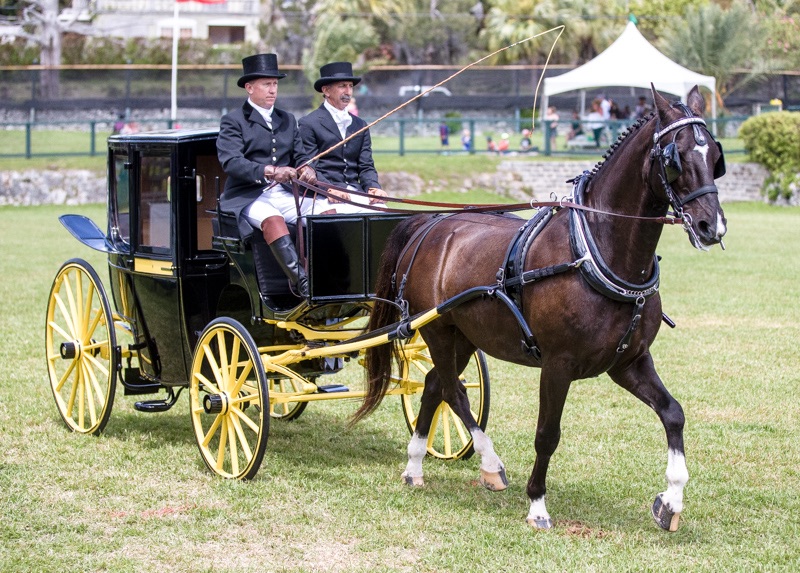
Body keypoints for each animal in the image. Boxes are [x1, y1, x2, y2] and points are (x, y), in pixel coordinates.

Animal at [354, 86, 728, 532]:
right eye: (676, 157)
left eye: (715, 156)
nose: (712, 227)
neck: (594, 250)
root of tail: (429, 225)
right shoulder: (557, 364)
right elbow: (548, 434)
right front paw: (537, 505)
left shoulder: (629, 362)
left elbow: (673, 414)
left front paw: (670, 500)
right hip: (439, 331)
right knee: (453, 390)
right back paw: (490, 464)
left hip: (463, 335)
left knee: (433, 386)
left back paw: (415, 467)